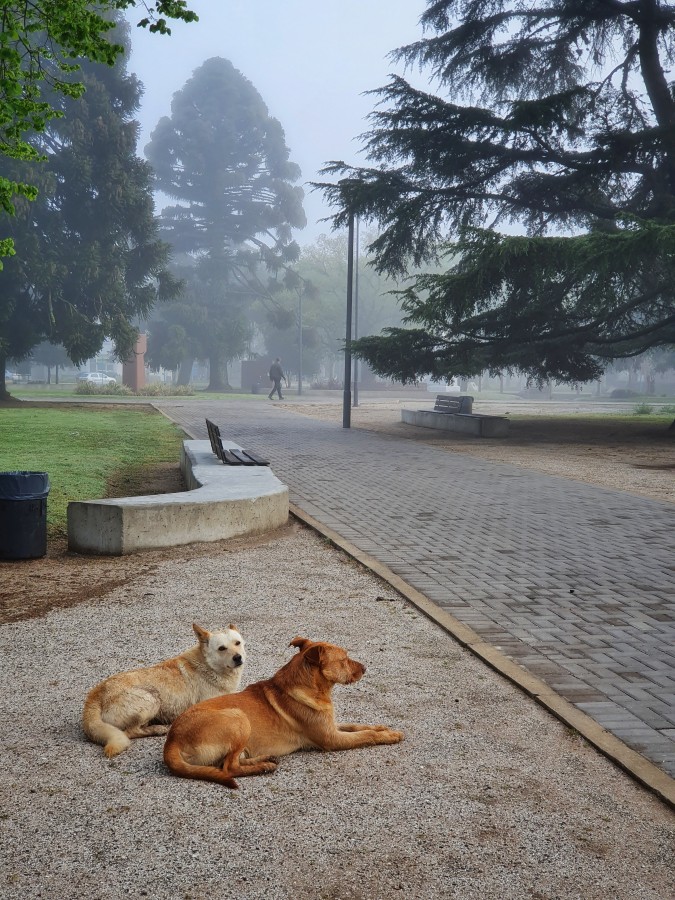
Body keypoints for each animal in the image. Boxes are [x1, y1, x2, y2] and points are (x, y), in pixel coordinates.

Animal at [82, 624, 246, 760]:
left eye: (237, 643)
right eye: (222, 648)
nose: (238, 658)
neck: (209, 666)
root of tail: (96, 693)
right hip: (151, 699)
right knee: (131, 732)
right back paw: (158, 729)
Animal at [164, 632, 404, 788]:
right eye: (344, 659)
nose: (365, 668)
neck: (310, 687)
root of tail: (172, 740)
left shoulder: (332, 726)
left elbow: (358, 725)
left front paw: (385, 728)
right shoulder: (331, 739)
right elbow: (366, 735)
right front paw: (388, 736)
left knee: (230, 762)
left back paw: (265, 759)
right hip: (238, 718)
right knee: (228, 768)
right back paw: (262, 768)